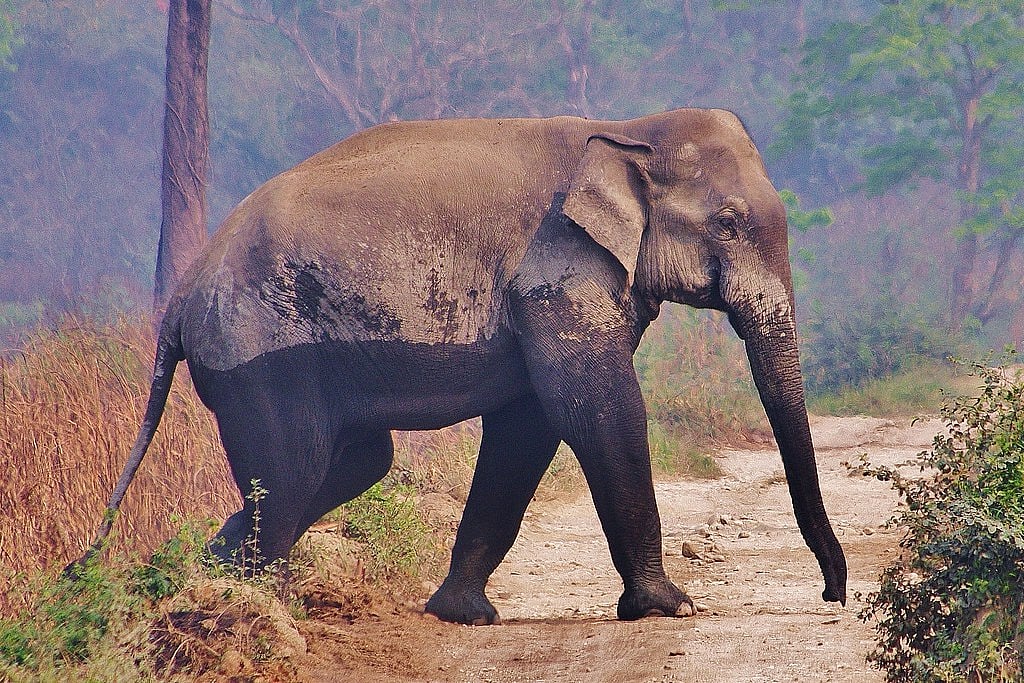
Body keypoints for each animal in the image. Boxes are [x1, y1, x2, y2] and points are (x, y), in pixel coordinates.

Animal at [85, 107, 847, 625]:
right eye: (727, 224)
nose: (833, 595)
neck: (626, 128)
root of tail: (184, 292)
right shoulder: (558, 271)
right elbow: (596, 409)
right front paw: (669, 607)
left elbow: (530, 426)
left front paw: (462, 613)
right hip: (259, 359)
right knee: (294, 474)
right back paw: (250, 606)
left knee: (353, 464)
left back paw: (202, 585)